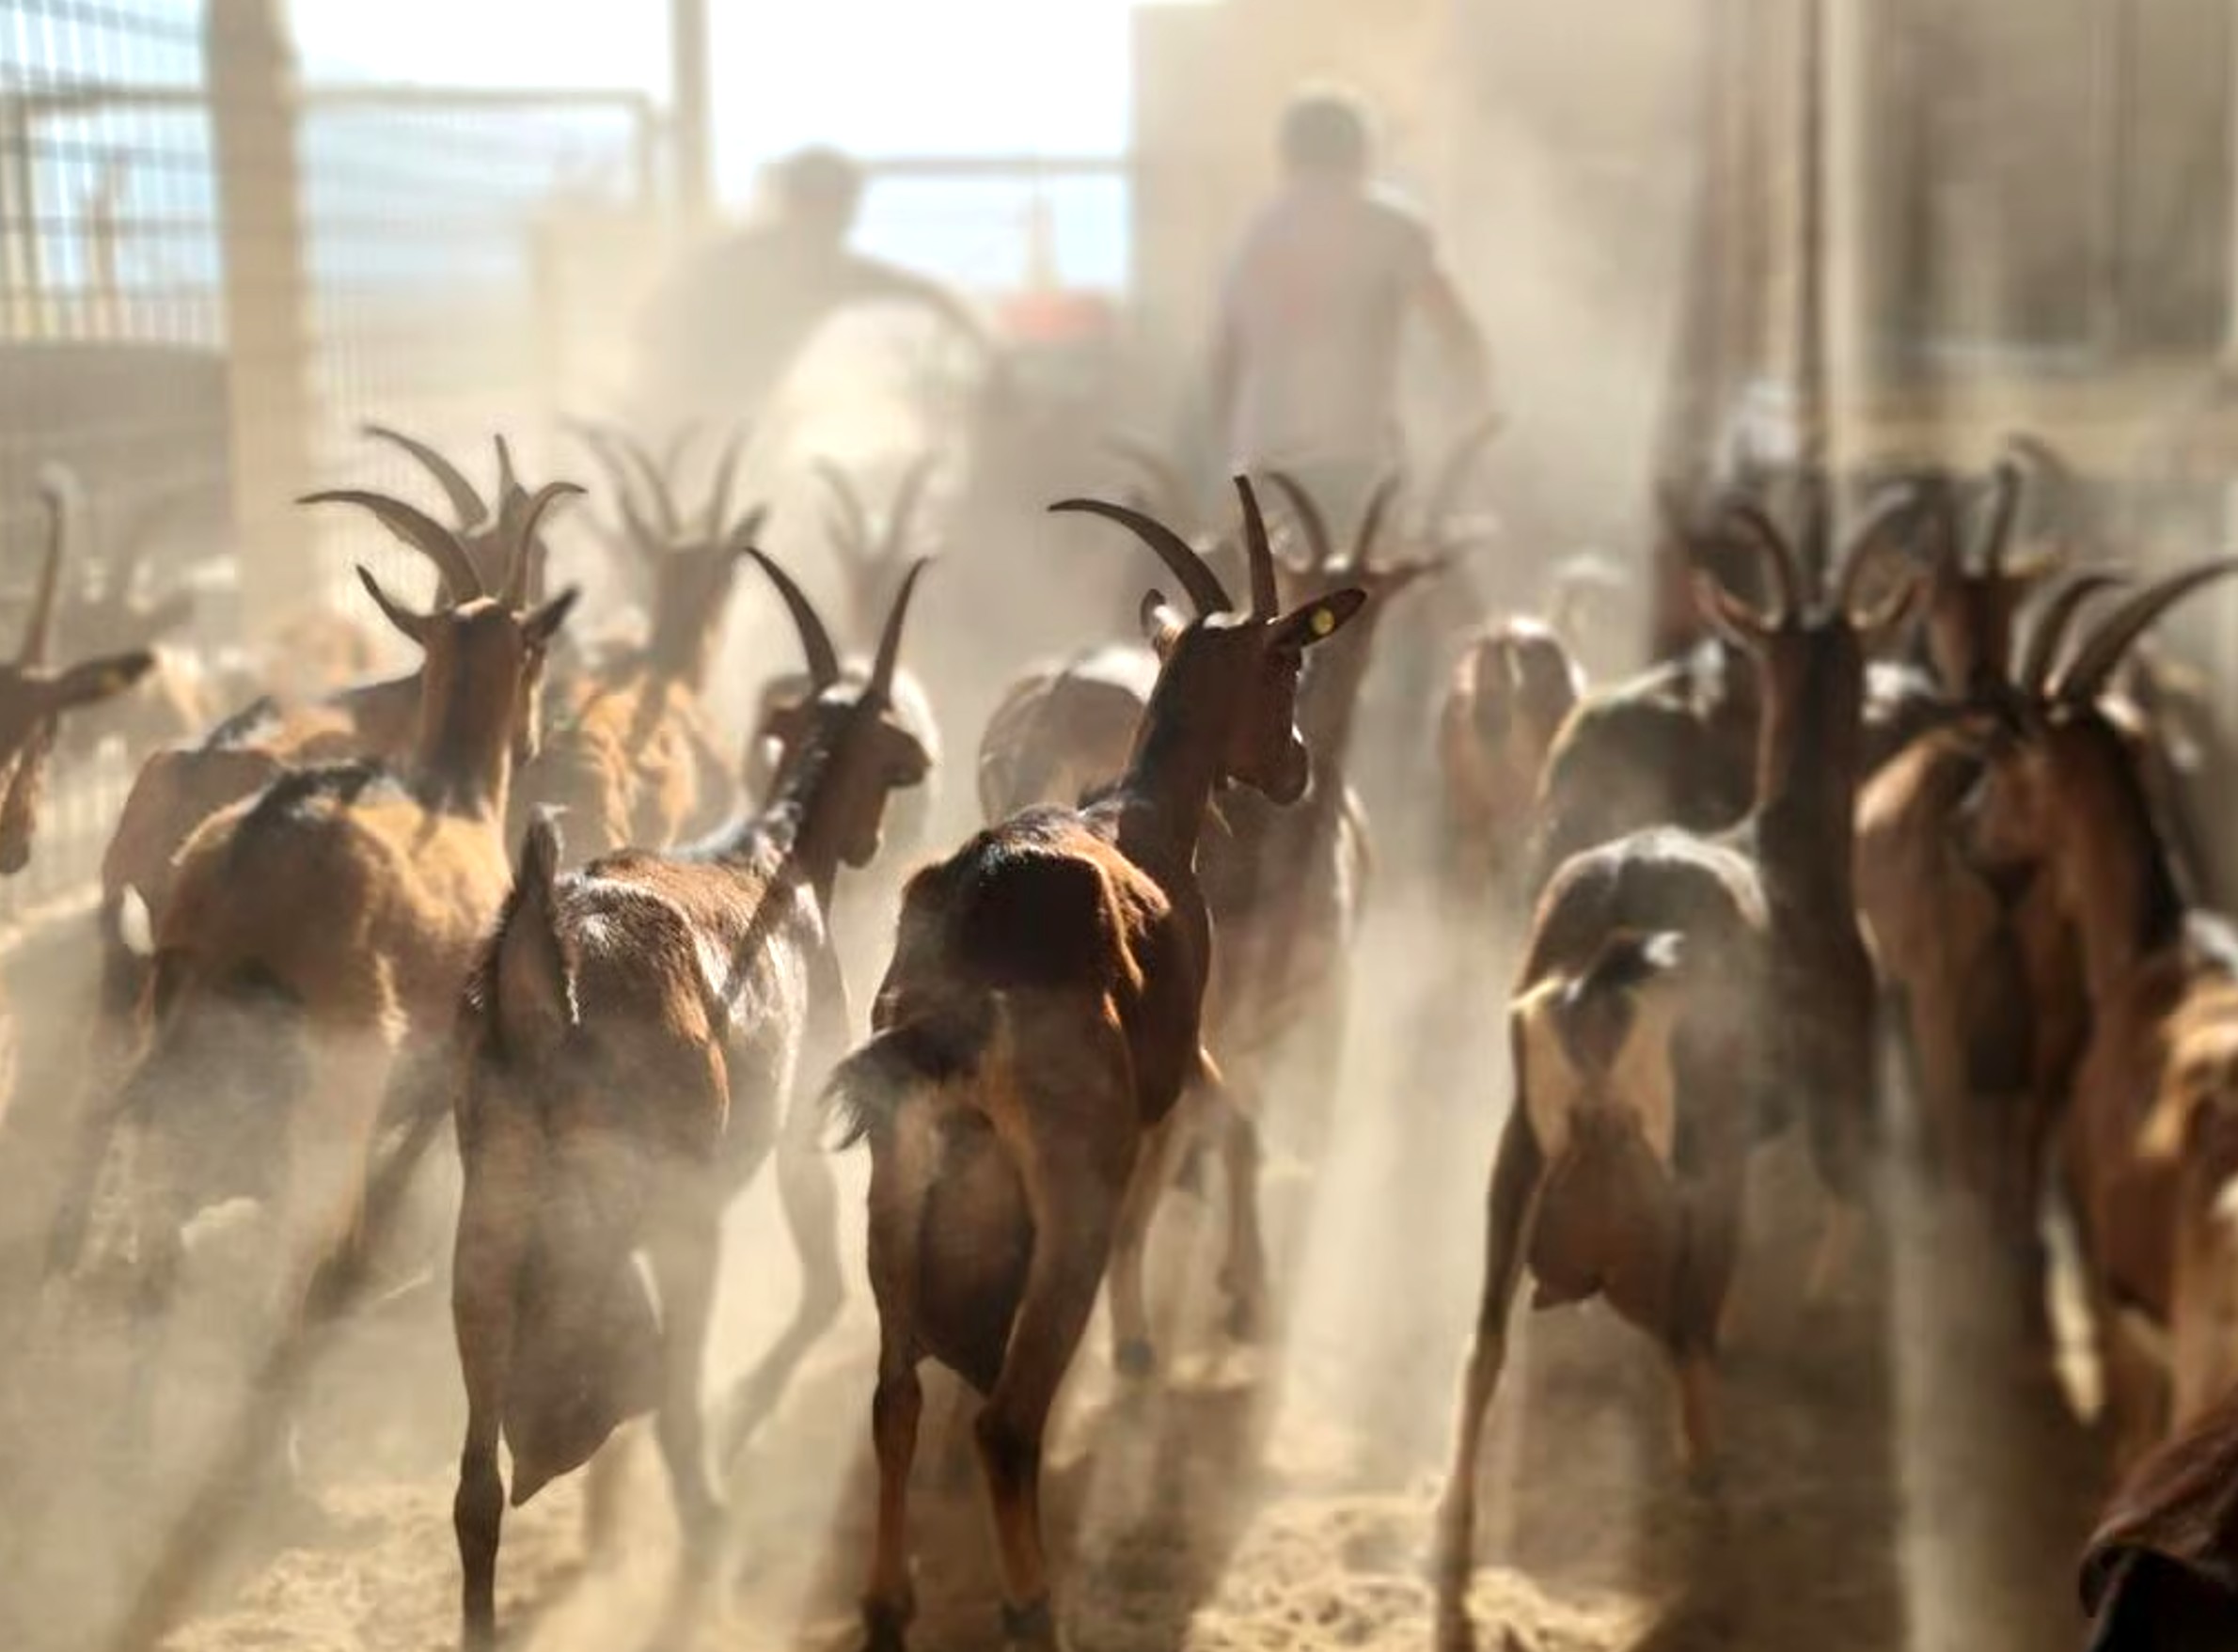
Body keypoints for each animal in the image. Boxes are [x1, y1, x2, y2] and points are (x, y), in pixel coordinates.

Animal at [449, 548, 932, 1650]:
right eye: (894, 757)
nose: (870, 840)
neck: (775, 851)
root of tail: (548, 973)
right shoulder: (800, 1118)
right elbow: (823, 1287)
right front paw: (746, 1410)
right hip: (678, 1209)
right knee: (669, 1395)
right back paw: (710, 1536)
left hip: (492, 1227)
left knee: (477, 1487)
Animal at [824, 478, 1363, 1651]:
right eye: (1287, 662)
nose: (1294, 766)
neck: (1139, 815)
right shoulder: (1172, 1075)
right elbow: (1208, 1151)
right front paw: (1190, 1326)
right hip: (1066, 1183)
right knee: (1007, 1419)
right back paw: (1034, 1605)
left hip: (897, 1182)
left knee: (893, 1394)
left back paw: (888, 1602)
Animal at [1436, 486, 1921, 1631]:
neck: (1786, 849)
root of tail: (1609, 940)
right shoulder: (1837, 1074)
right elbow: (1845, 1194)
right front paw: (1822, 1317)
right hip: (1706, 1142)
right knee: (1689, 1330)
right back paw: (1717, 1509)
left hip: (1519, 1147)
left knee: (1485, 1339)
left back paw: (1455, 1534)